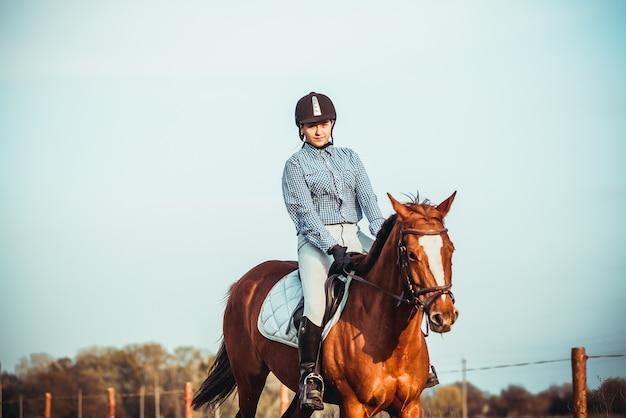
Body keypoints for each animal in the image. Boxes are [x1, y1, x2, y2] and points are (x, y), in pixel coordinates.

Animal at [193, 193, 456, 418]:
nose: (444, 315)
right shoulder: (353, 405)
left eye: (450, 249)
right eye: (411, 254)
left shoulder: (409, 406)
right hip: (250, 378)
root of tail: (244, 282)